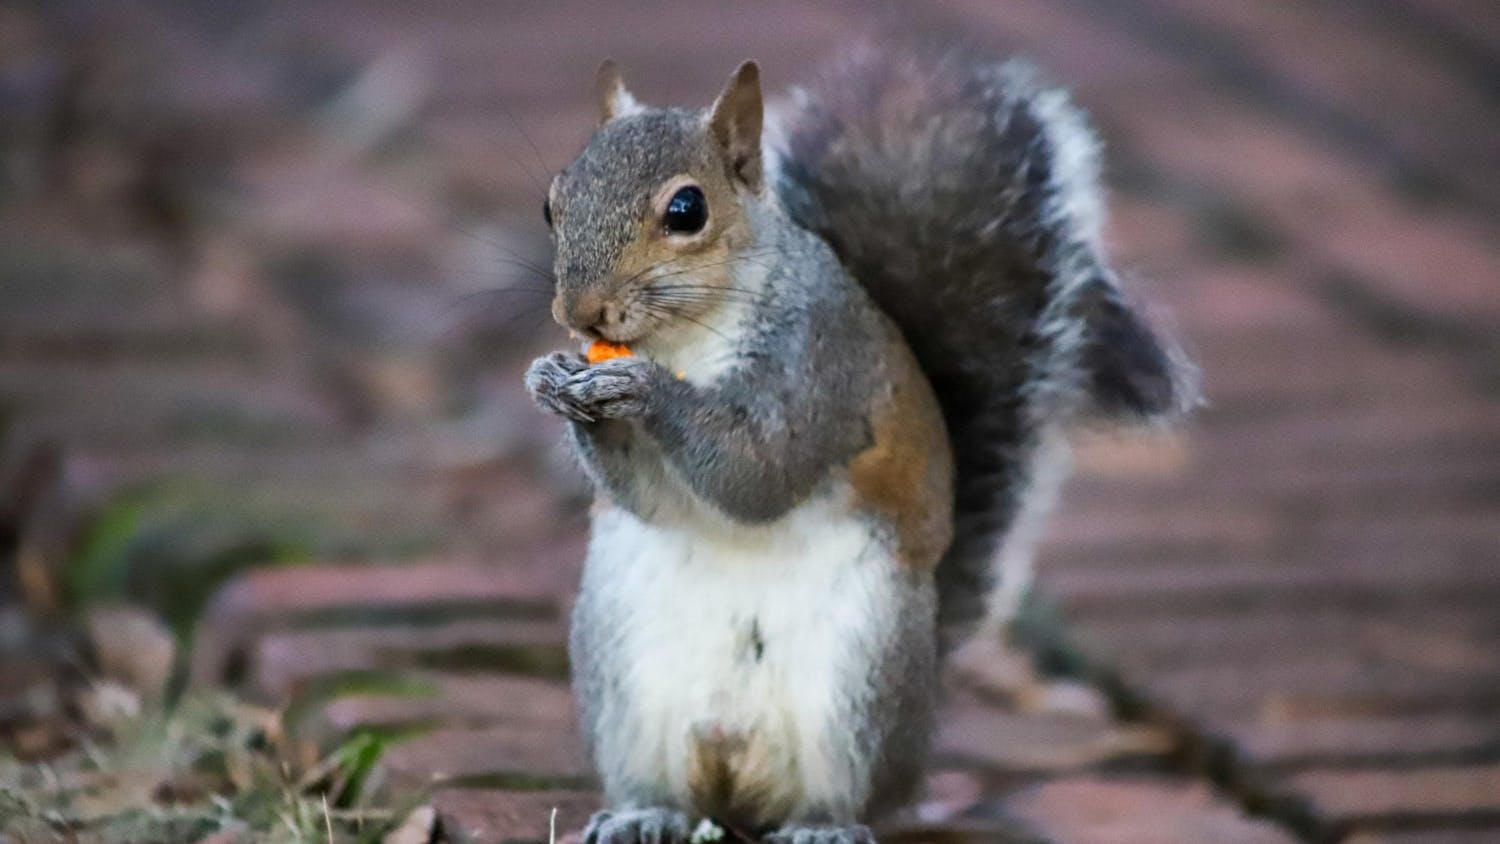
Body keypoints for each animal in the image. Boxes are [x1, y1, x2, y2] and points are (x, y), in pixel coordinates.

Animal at [525, 43, 1192, 844]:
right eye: (552, 202)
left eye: (687, 210)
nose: (580, 312)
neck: (688, 339)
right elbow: (648, 497)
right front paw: (552, 381)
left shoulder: (822, 368)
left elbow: (762, 472)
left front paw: (644, 391)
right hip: (620, 665)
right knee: (670, 785)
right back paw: (642, 814)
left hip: (861, 676)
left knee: (853, 795)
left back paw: (825, 825)